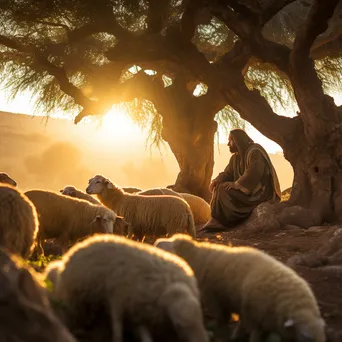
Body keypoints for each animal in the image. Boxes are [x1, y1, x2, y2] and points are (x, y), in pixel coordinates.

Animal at [51, 234, 207, 342]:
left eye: (201, 319)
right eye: (178, 324)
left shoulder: (138, 309)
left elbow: (143, 333)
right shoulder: (117, 298)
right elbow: (118, 326)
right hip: (77, 298)